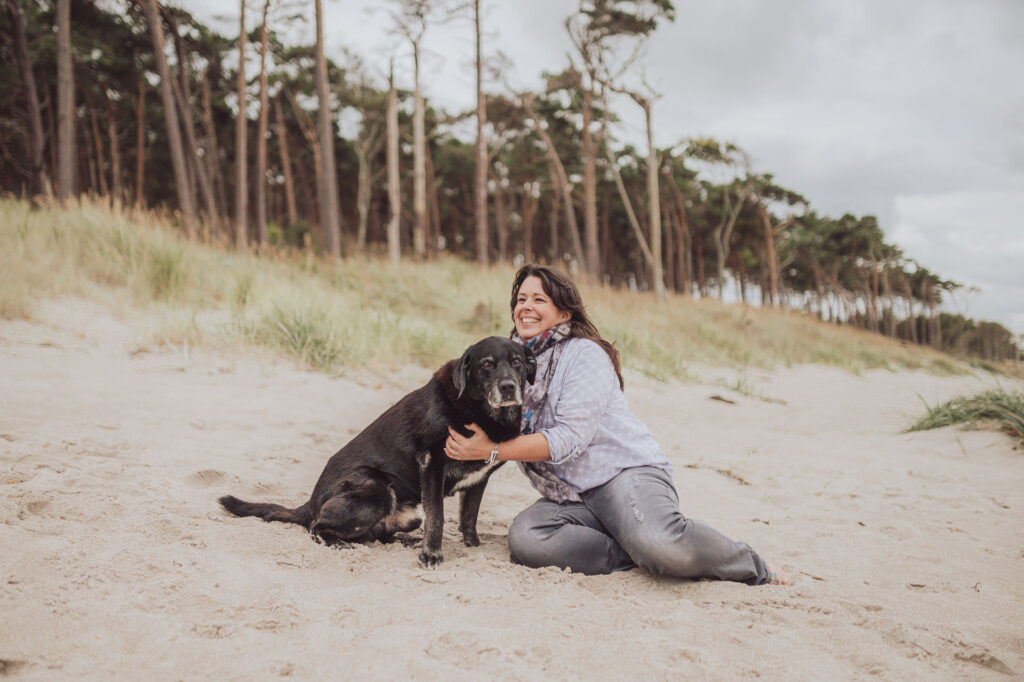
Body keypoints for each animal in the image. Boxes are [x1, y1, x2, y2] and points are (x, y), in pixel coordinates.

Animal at [218, 333, 536, 561]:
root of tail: (309, 503)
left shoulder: (479, 478)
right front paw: (431, 554)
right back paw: (339, 544)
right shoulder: (431, 462)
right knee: (317, 527)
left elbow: (469, 516)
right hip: (377, 489)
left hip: (405, 513)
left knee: (378, 534)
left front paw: (471, 545)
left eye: (517, 362)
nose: (508, 387)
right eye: (486, 364)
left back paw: (406, 541)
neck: (480, 410)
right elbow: (438, 517)